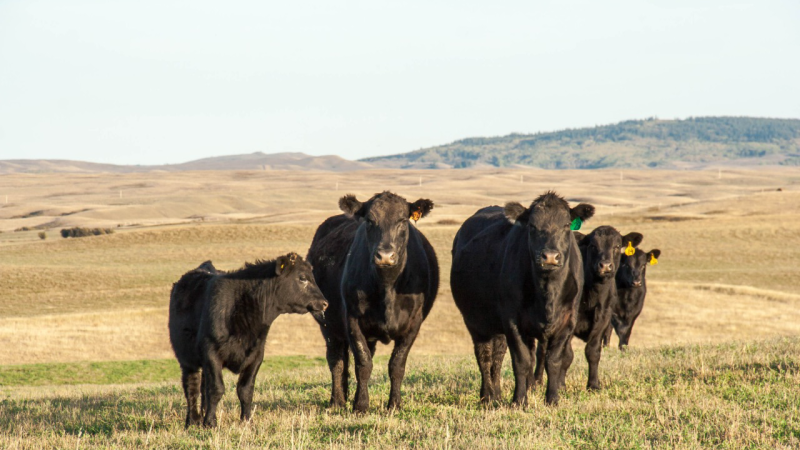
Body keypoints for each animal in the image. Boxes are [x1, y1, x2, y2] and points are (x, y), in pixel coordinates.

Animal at [168, 253, 328, 428]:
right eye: (302, 278)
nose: (324, 303)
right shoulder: (211, 351)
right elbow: (216, 389)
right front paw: (210, 423)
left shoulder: (256, 354)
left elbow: (245, 390)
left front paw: (246, 421)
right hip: (186, 359)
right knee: (192, 386)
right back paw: (193, 420)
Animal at [307, 191, 439, 413]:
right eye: (369, 221)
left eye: (403, 221)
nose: (385, 256)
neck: (388, 287)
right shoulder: (352, 320)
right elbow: (363, 363)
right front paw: (361, 405)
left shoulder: (413, 324)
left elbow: (397, 364)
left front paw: (394, 404)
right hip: (328, 324)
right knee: (336, 360)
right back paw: (337, 401)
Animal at [450, 191, 595, 406]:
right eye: (532, 226)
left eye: (567, 225)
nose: (550, 256)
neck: (547, 293)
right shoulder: (512, 322)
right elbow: (522, 361)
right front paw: (519, 400)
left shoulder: (567, 321)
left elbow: (554, 360)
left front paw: (552, 399)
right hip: (475, 321)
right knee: (484, 355)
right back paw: (487, 397)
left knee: (497, 356)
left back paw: (497, 394)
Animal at [533, 228, 642, 390]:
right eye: (593, 246)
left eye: (617, 246)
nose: (605, 266)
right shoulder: (569, 322)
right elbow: (567, 355)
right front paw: (560, 385)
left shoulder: (603, 320)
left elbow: (593, 352)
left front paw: (593, 385)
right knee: (541, 350)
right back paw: (536, 381)